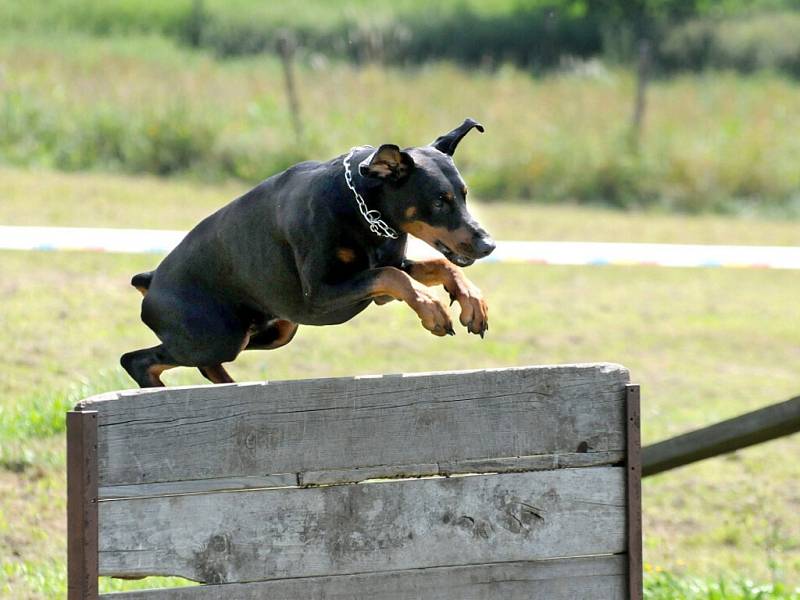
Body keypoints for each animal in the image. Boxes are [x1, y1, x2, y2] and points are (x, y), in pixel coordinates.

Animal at [120, 119, 494, 386]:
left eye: (463, 194)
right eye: (439, 201)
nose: (488, 244)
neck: (362, 205)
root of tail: (151, 280)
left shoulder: (386, 272)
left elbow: (437, 266)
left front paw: (473, 303)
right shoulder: (320, 294)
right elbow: (393, 276)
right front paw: (432, 309)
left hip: (273, 329)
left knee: (205, 366)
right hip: (217, 336)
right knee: (137, 360)